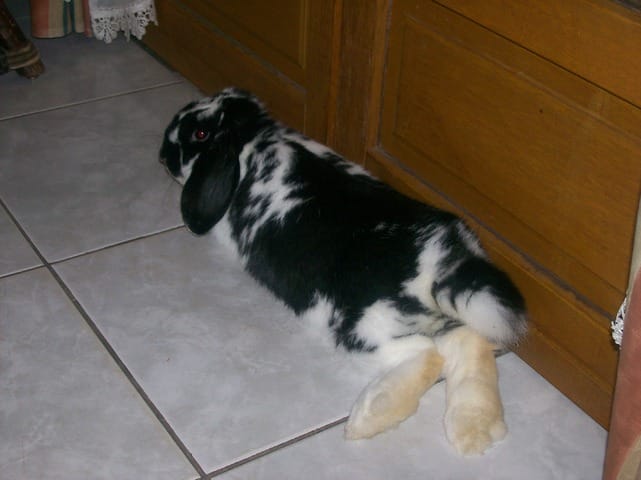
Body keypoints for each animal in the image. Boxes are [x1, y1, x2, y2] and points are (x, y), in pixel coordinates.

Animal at [159, 87, 527, 455]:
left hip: (364, 326)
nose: (163, 153)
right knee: (470, 345)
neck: (255, 137)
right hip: (450, 318)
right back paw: (475, 429)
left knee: (429, 356)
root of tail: (439, 265)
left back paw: (371, 415)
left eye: (200, 133)